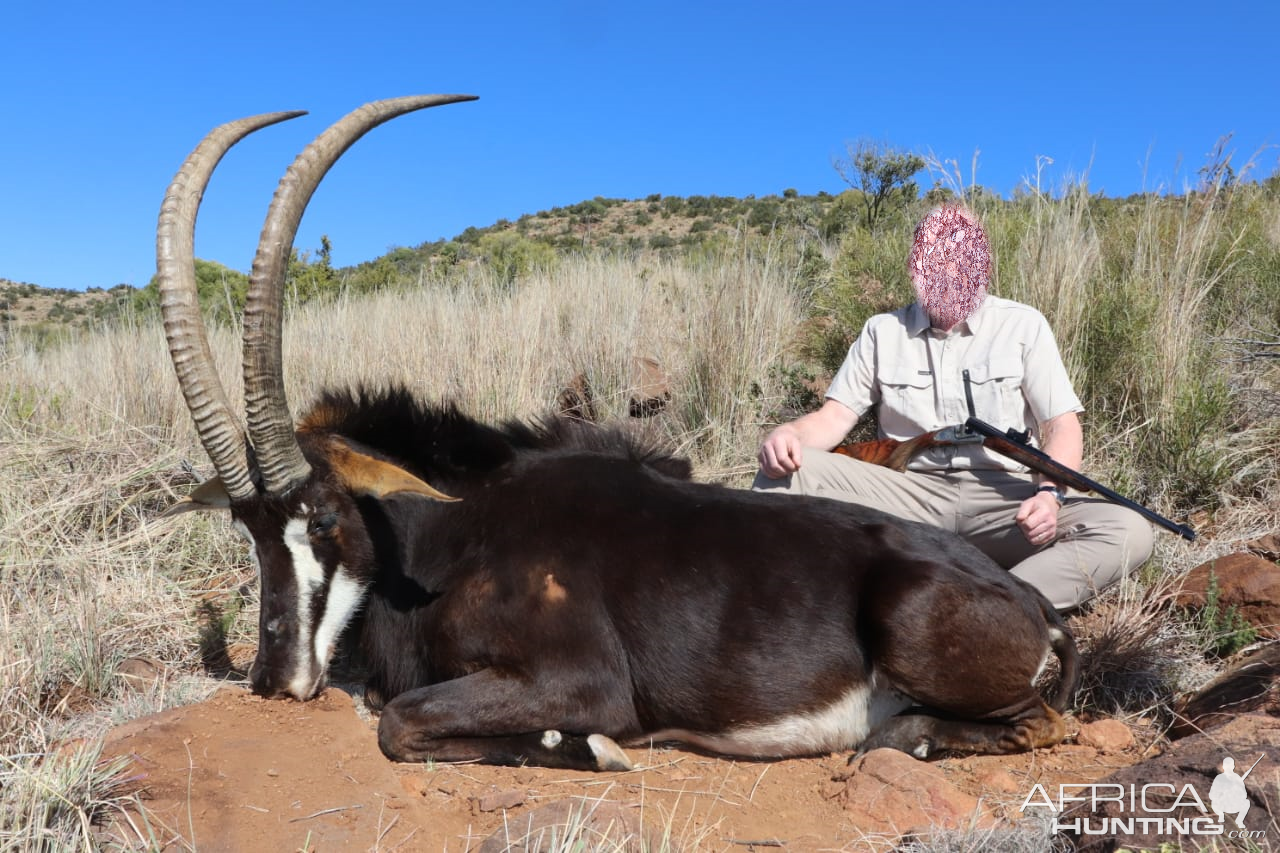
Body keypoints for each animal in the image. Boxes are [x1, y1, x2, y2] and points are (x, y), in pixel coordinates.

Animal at [160, 96, 1080, 768]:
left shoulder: (582, 679)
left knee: (1032, 723)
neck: (459, 524)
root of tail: (1032, 602)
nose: (271, 678)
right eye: (247, 528)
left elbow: (401, 722)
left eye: (321, 514)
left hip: (918, 627)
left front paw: (592, 747)